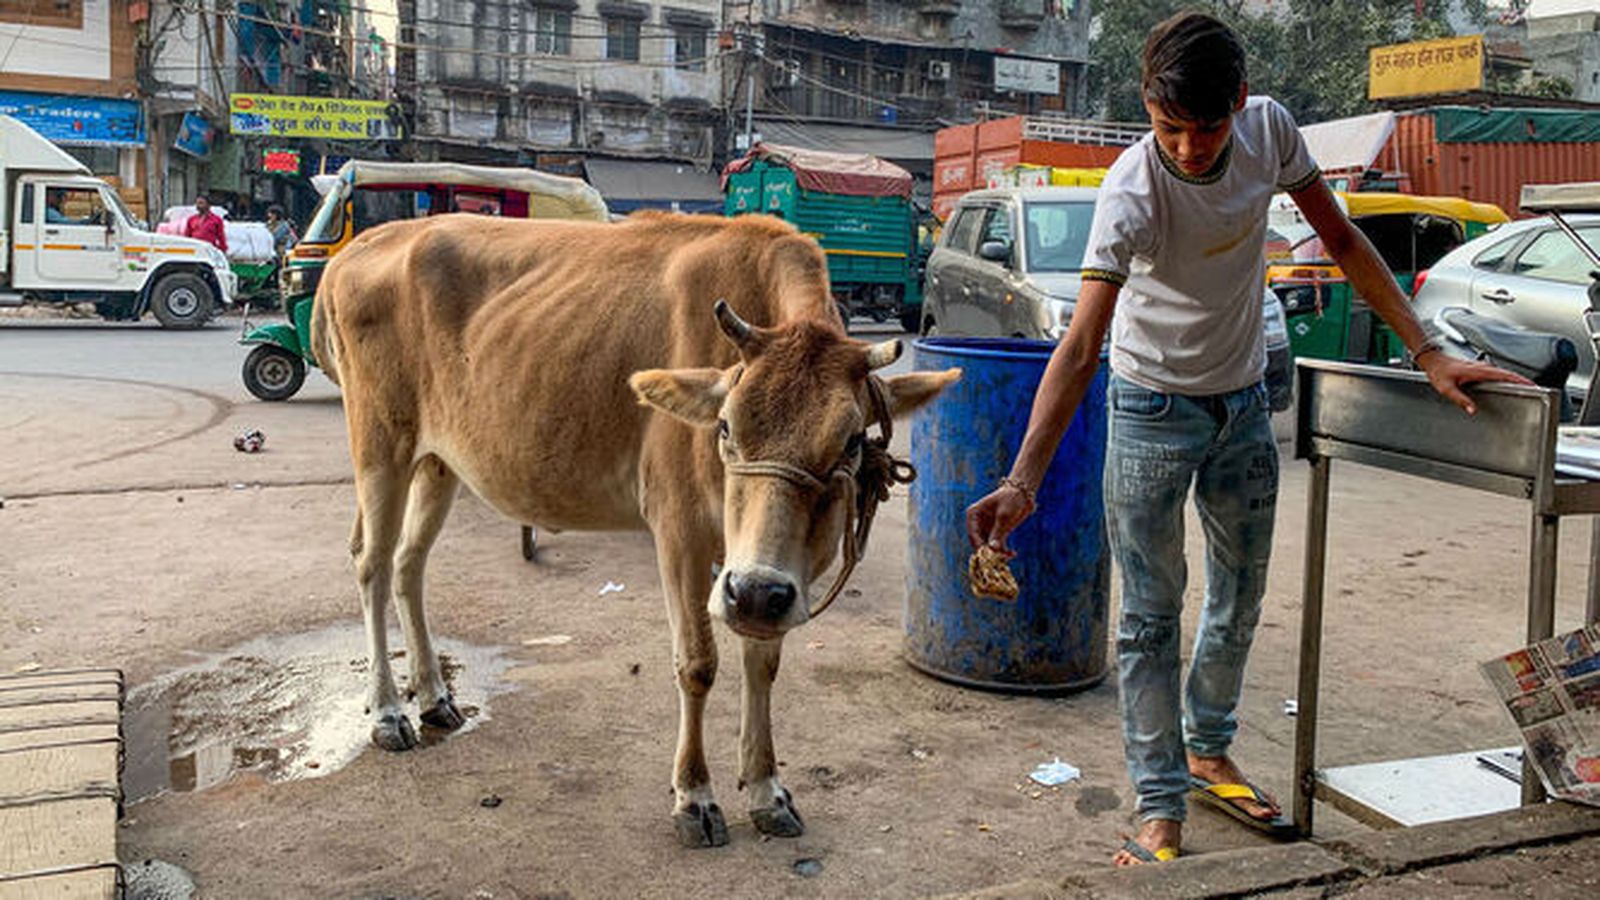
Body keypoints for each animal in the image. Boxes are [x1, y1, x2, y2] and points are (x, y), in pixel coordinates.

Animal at [310, 211, 960, 847]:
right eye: (725, 428)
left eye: (849, 442)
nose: (753, 592)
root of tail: (358, 249)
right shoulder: (679, 530)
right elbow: (697, 663)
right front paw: (694, 796)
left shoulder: (774, 573)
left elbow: (763, 663)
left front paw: (766, 790)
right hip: (380, 446)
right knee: (371, 563)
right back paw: (389, 712)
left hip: (438, 461)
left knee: (409, 564)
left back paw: (434, 698)